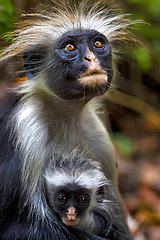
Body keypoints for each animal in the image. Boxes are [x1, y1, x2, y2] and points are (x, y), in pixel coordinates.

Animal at [0, 0, 134, 239]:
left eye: (98, 44)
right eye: (70, 48)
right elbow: (24, 226)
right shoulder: (25, 124)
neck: (66, 114)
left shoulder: (100, 139)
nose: (91, 58)